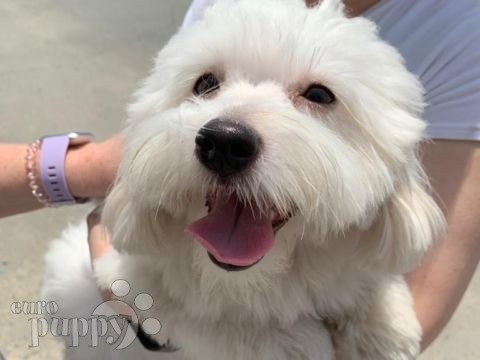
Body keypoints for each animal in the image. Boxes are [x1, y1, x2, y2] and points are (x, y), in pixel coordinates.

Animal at [43, 0, 444, 360]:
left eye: (319, 95)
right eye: (206, 83)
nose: (223, 142)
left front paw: (384, 324)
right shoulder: (128, 279)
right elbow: (208, 323)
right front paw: (299, 341)